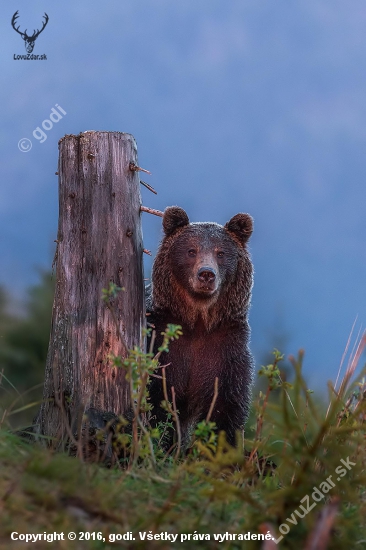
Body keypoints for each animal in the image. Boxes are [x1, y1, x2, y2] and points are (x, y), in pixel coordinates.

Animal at [147, 207, 254, 448]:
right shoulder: (164, 342)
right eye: (191, 250)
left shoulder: (225, 350)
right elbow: (158, 399)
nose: (206, 274)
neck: (198, 323)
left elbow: (225, 409)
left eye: (220, 253)